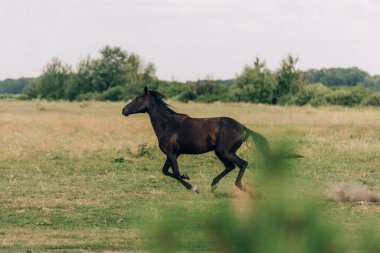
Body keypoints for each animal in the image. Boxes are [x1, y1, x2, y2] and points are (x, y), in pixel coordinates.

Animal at [121, 86, 300, 193]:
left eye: (137, 99)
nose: (123, 110)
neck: (167, 124)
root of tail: (242, 127)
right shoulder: (173, 154)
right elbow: (166, 171)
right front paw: (188, 178)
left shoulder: (172, 153)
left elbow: (176, 173)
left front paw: (193, 187)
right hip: (220, 152)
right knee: (230, 166)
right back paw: (214, 185)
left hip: (225, 151)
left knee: (242, 164)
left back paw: (240, 187)